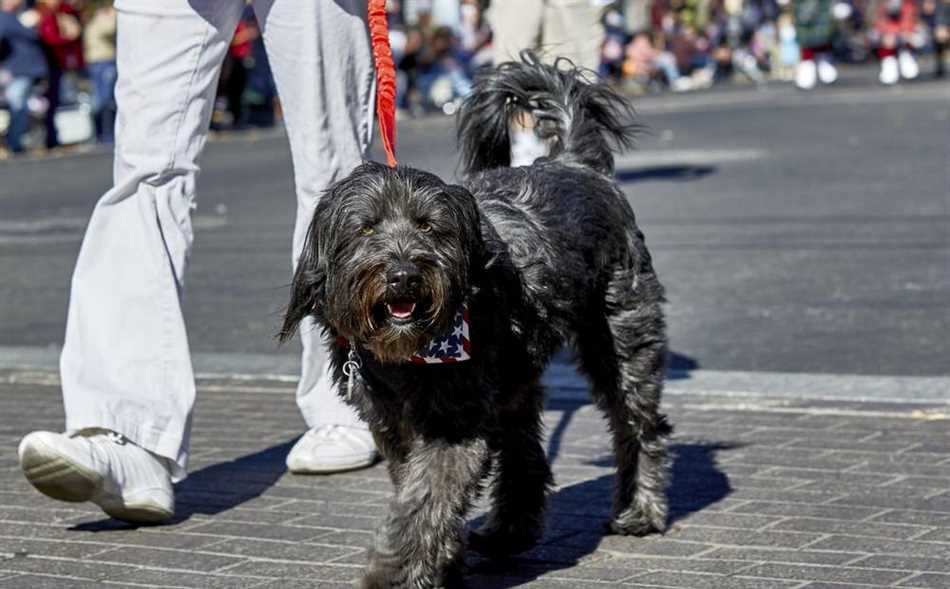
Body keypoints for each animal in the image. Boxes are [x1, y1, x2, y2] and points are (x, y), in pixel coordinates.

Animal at [278, 52, 672, 584]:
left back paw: (640, 510)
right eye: (366, 228)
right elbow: (418, 492)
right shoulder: (392, 424)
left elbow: (425, 498)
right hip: (515, 378)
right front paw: (440, 562)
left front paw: (395, 569)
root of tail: (573, 161)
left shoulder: (454, 423)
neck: (408, 358)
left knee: (638, 424)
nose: (403, 276)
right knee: (526, 451)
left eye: (429, 226)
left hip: (621, 337)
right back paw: (511, 530)